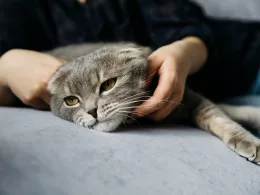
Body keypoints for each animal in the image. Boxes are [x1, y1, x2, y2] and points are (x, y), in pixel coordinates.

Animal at [47, 42, 260, 165]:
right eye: (71, 100)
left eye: (108, 84)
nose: (92, 111)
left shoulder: (188, 98)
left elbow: (220, 116)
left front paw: (251, 141)